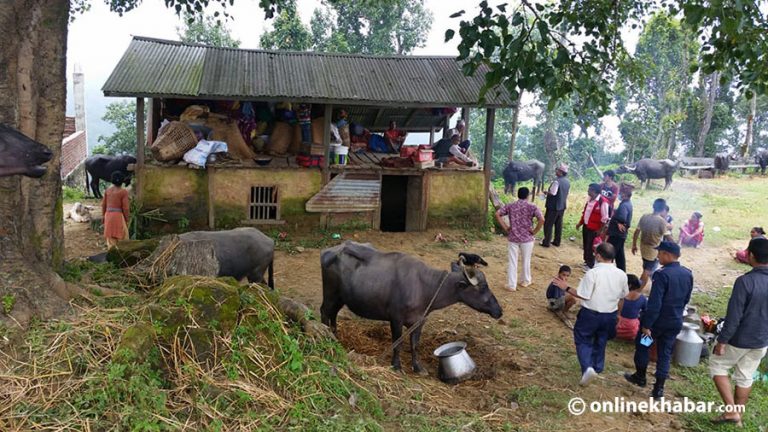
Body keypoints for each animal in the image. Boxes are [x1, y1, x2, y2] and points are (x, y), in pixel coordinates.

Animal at [320, 241, 504, 372]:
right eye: (483, 287)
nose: (499, 311)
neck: (425, 287)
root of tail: (329, 251)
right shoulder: (396, 318)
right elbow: (397, 342)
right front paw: (396, 366)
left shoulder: (419, 321)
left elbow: (415, 344)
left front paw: (418, 367)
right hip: (330, 293)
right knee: (324, 312)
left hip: (340, 297)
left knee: (333, 314)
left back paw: (335, 336)